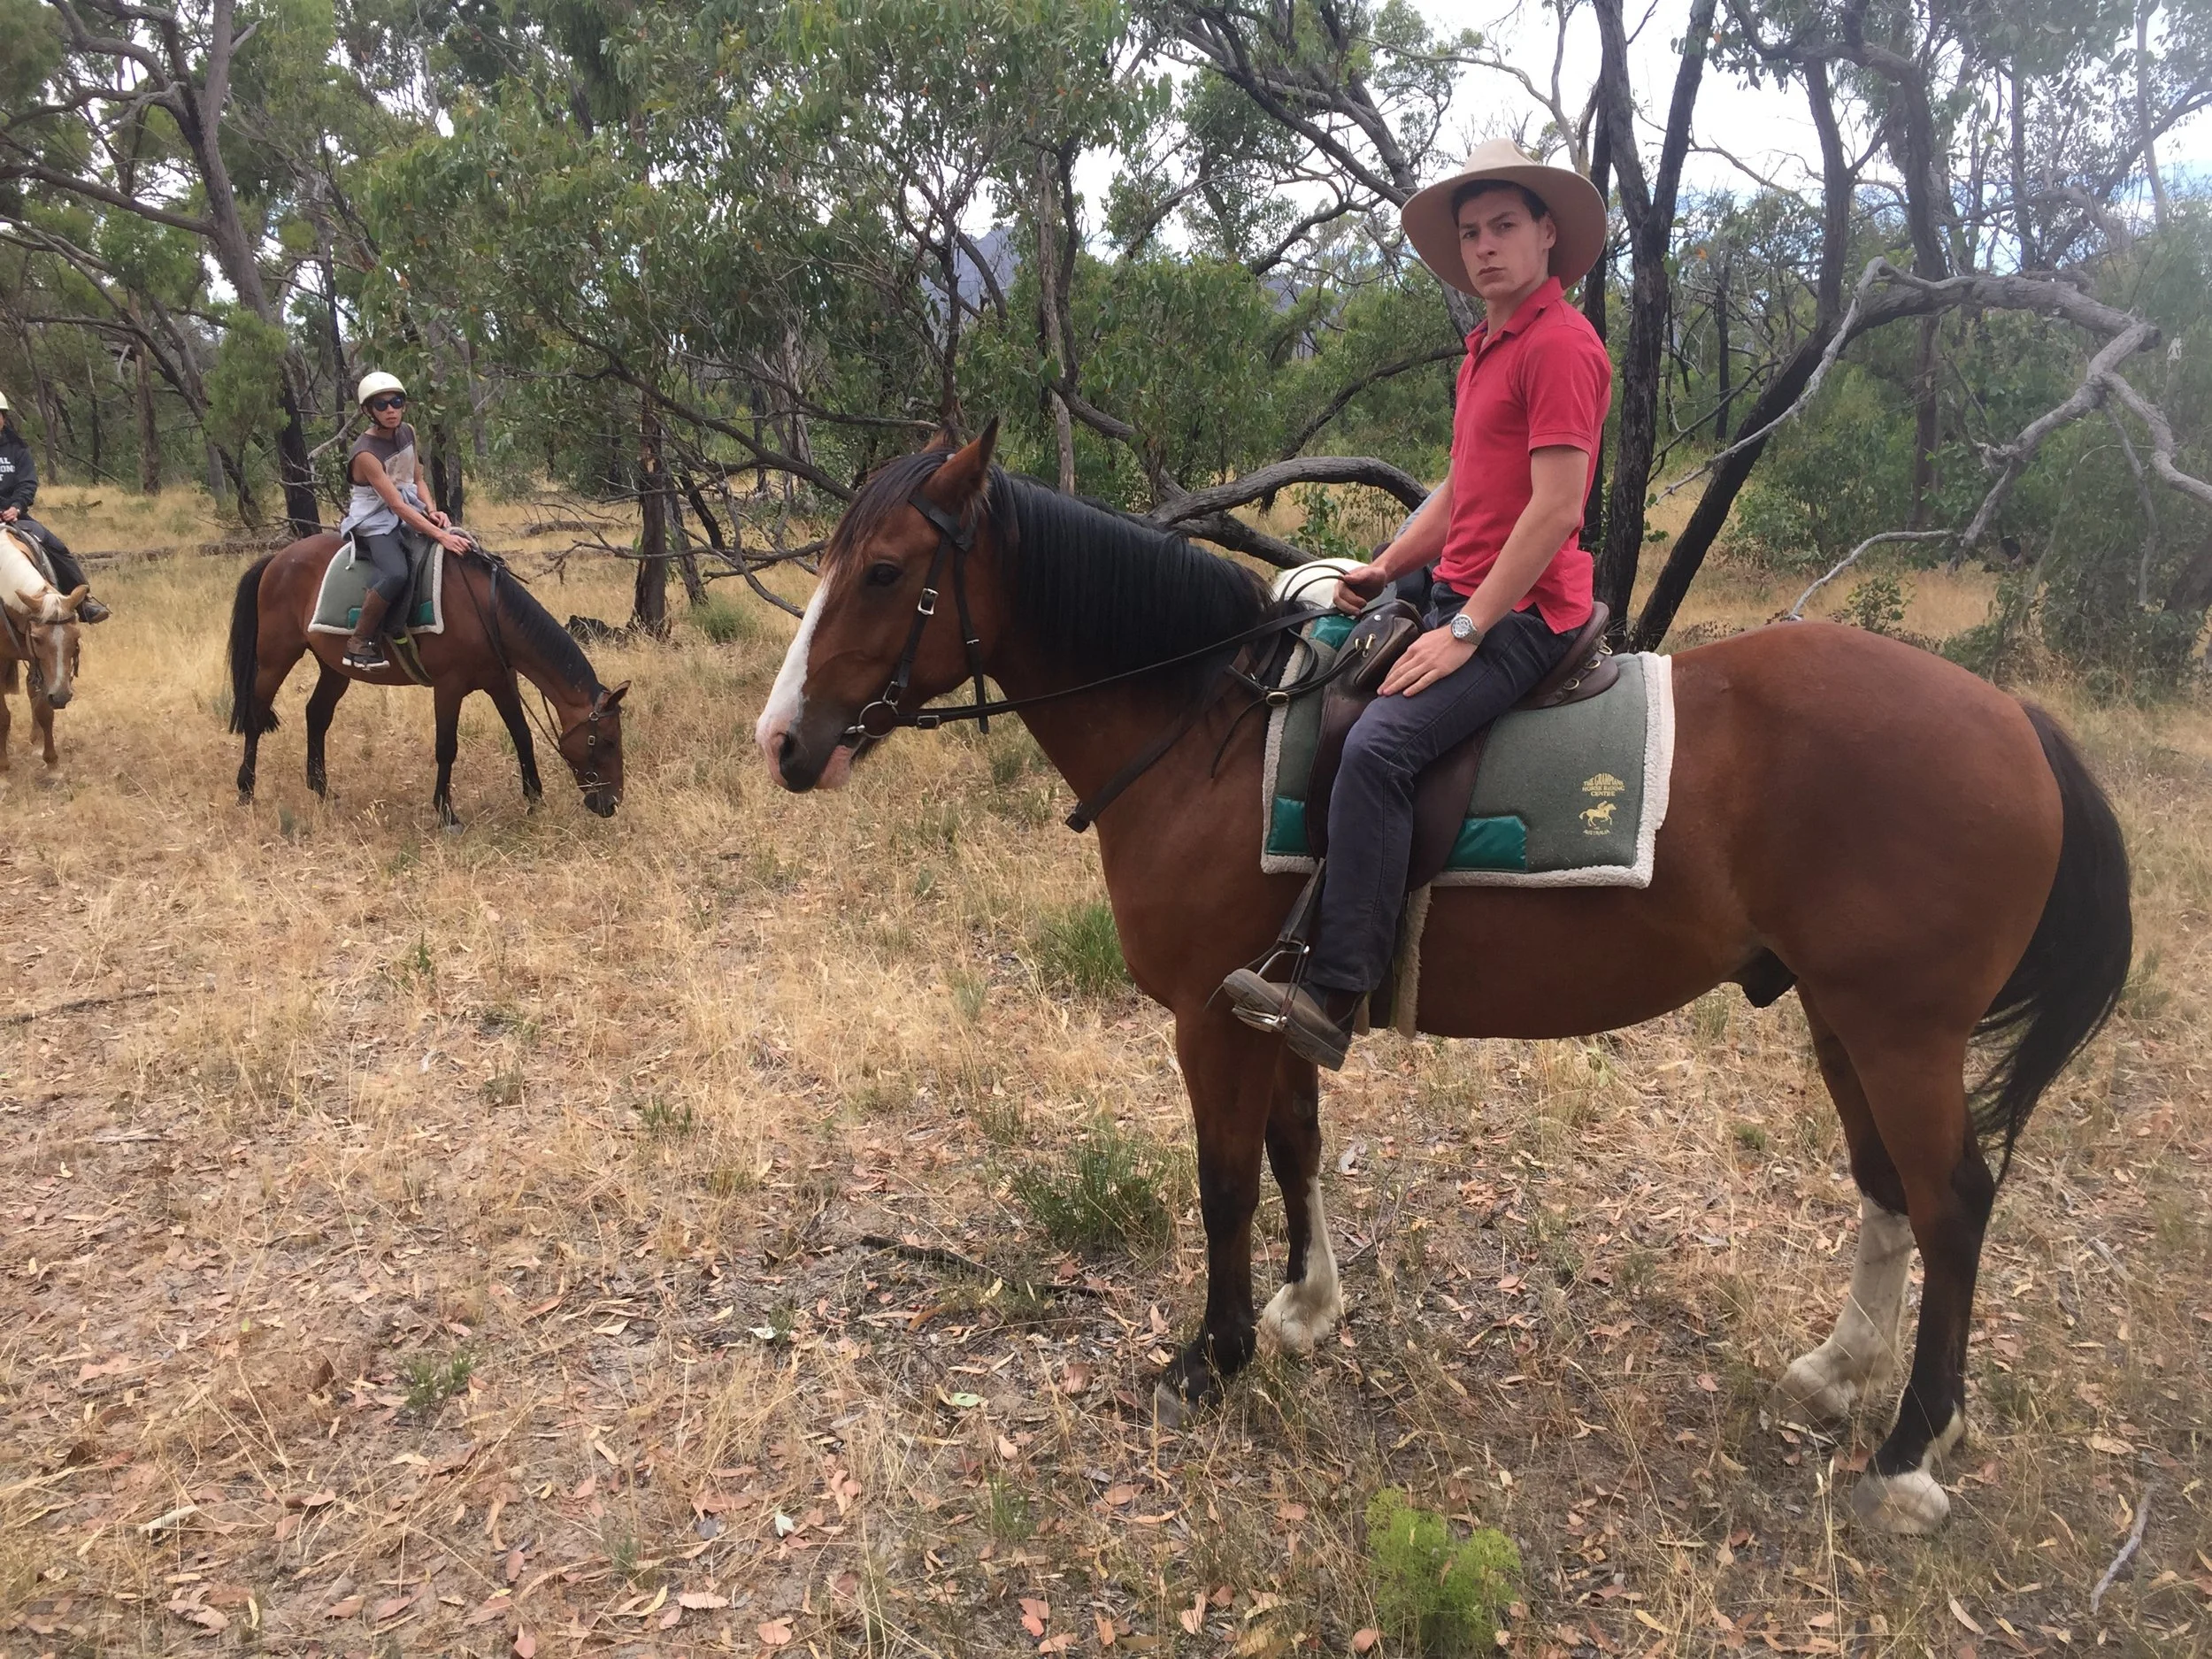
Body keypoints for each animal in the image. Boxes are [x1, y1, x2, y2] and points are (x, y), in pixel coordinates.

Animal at [0, 524, 87, 774]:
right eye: (37, 638)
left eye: (76, 637)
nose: (61, 696)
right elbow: (3, 716)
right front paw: (3, 769)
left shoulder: (35, 660)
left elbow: (43, 710)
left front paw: (51, 762)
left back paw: (36, 739)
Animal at [227, 533, 629, 825]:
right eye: (607, 742)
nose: (611, 804)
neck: (487, 611)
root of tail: (276, 559)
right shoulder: (449, 687)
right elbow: (446, 747)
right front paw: (446, 812)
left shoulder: (501, 680)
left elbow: (521, 735)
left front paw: (535, 799)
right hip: (275, 658)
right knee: (256, 716)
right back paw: (246, 790)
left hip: (335, 667)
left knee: (317, 715)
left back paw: (322, 790)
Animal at [753, 424, 2132, 1536]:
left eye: (886, 572)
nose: (784, 742)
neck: (1208, 728)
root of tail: (2014, 718)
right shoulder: (1274, 1000)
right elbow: (1296, 1148)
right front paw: (1306, 1308)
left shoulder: (1210, 1015)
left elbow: (1224, 1180)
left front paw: (1215, 1353)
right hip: (1845, 1019)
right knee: (1891, 1191)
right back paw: (1842, 1375)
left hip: (1902, 1031)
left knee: (1953, 1202)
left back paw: (1906, 1456)